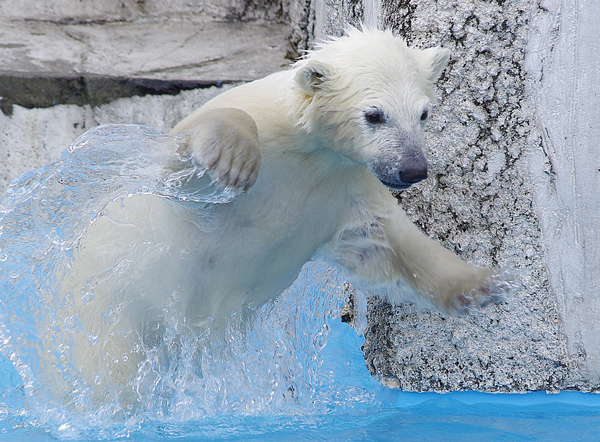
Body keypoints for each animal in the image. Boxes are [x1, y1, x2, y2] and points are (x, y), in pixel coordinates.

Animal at [54, 27, 508, 408]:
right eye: (375, 114)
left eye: (424, 113)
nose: (413, 169)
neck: (306, 151)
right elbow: (188, 153)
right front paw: (233, 159)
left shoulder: (342, 188)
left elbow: (385, 242)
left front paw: (481, 285)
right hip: (113, 313)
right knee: (112, 371)